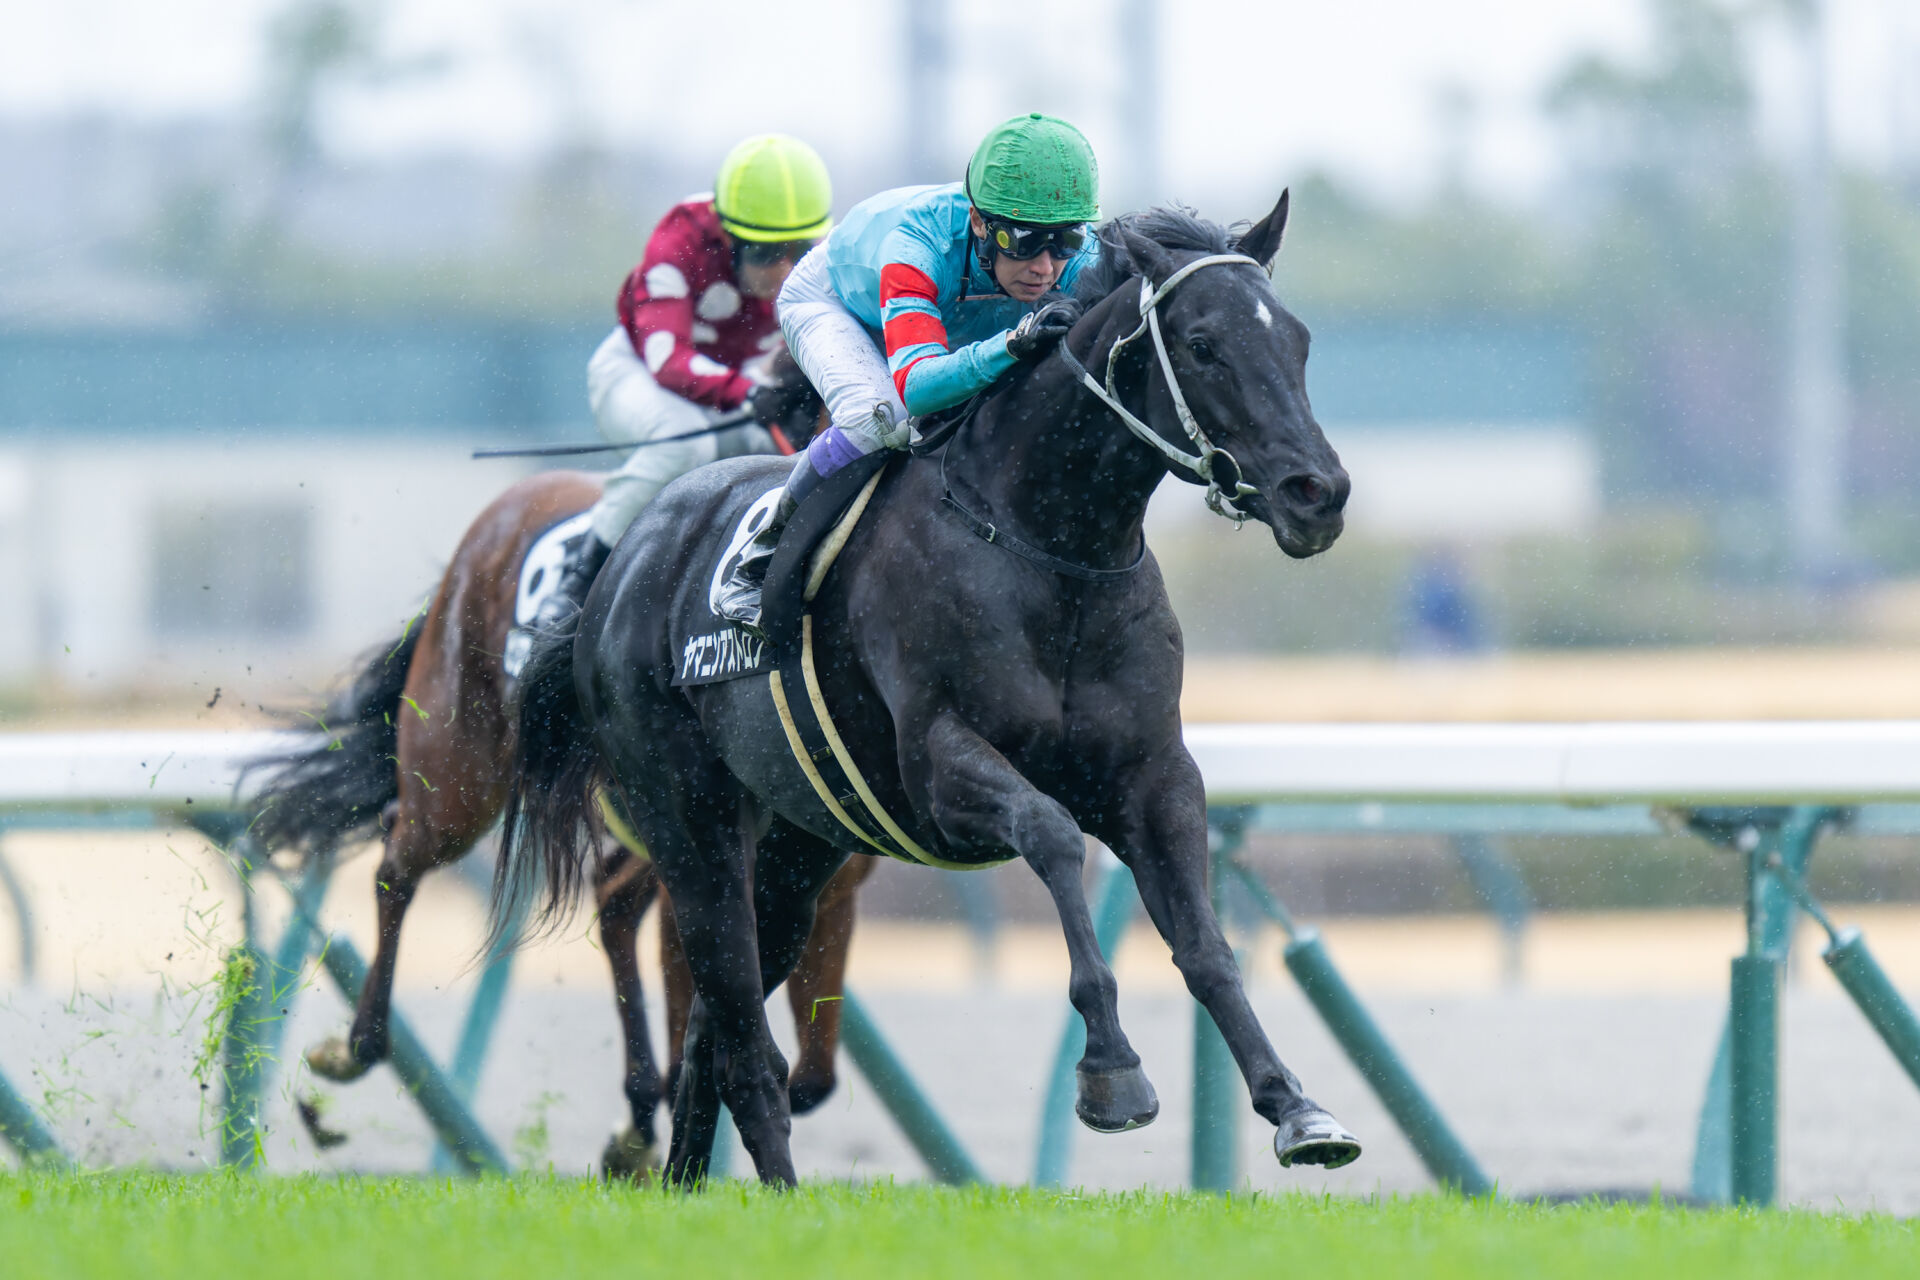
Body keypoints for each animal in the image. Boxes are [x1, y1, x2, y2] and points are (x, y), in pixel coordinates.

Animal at [247, 381, 871, 1176]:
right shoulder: (711, 852)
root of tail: (497, 516)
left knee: (610, 903)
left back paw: (635, 1115)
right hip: (460, 773)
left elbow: (809, 1072)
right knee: (397, 860)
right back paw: (354, 1050)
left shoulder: (831, 880)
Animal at [497, 192, 1356, 1187]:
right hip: (689, 823)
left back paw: (689, 1182)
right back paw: (774, 1189)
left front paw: (1297, 1107)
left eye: (1297, 340)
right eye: (1204, 343)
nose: (1317, 493)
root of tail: (623, 560)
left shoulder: (1153, 775)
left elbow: (1206, 945)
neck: (1049, 550)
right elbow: (1052, 835)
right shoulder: (941, 768)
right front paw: (1112, 1070)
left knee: (716, 1027)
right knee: (741, 1035)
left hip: (798, 847)